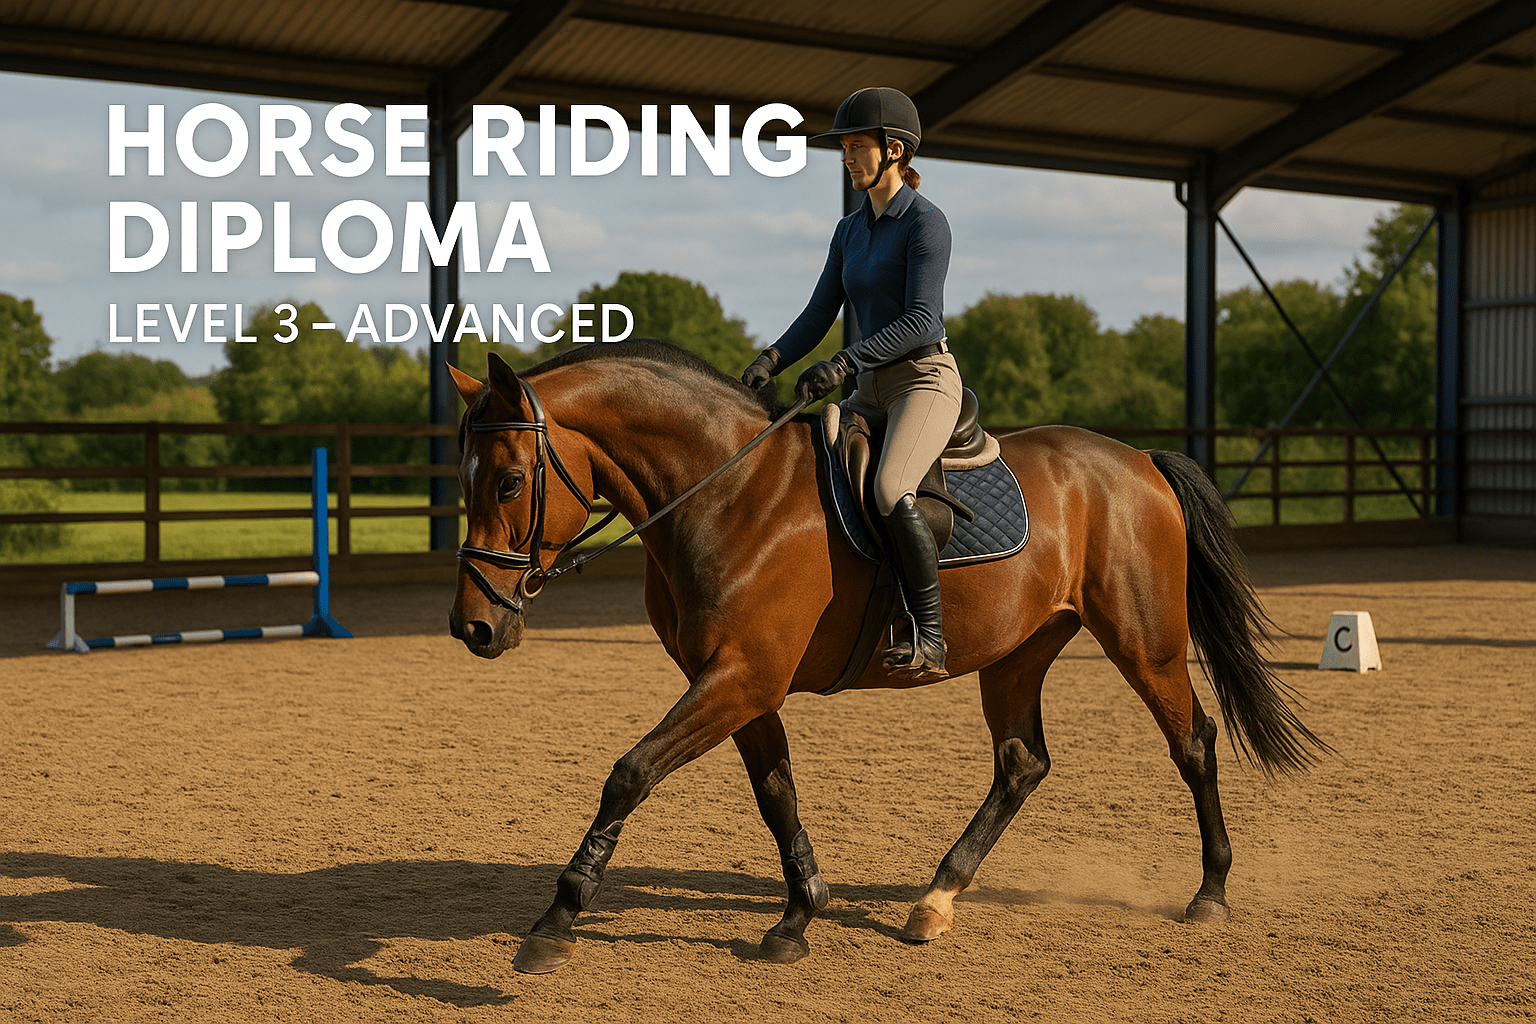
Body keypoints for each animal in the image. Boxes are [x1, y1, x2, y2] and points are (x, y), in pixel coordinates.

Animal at [445, 340, 1325, 976]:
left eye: (512, 481)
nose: (473, 628)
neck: (730, 494)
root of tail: (1138, 460)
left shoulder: (740, 678)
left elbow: (630, 773)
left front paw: (556, 918)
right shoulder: (743, 683)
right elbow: (776, 794)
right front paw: (799, 916)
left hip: (1145, 642)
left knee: (1192, 744)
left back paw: (1210, 890)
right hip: (1017, 652)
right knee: (1022, 763)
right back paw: (937, 899)